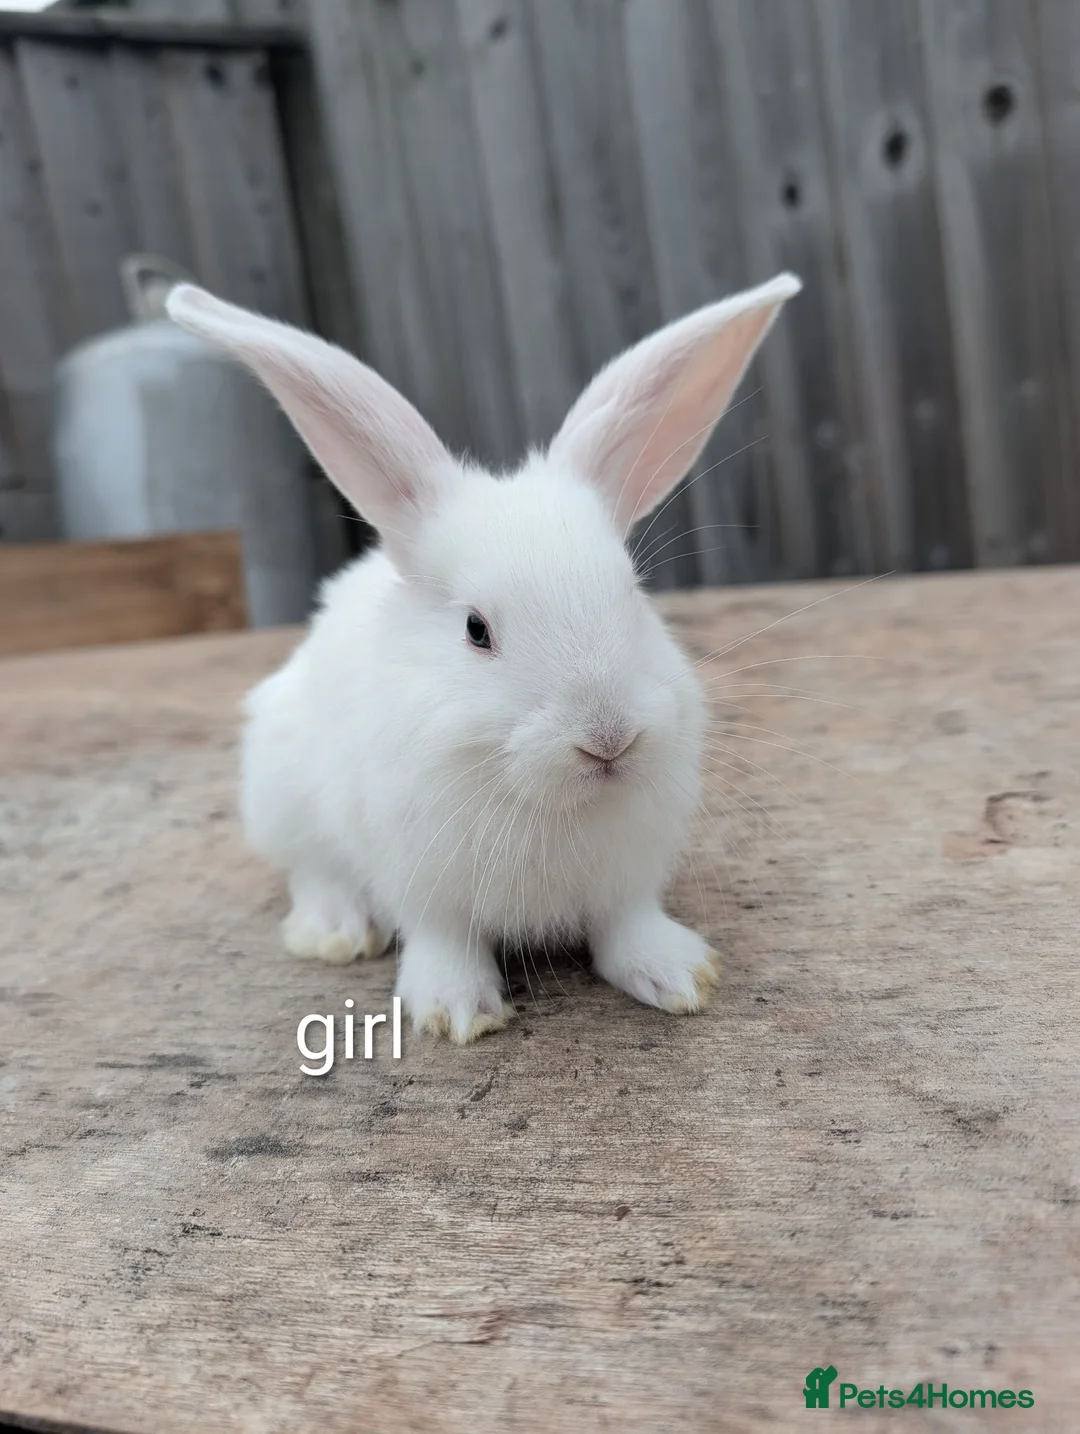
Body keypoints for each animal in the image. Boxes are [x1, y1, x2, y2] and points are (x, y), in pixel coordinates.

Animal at [166, 272, 801, 1043]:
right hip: (280, 791)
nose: (609, 739)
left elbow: (626, 928)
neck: (545, 801)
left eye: (631, 592)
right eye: (476, 629)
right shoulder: (420, 879)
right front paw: (458, 1012)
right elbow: (443, 938)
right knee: (311, 869)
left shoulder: (628, 880)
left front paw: (679, 976)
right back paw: (333, 933)